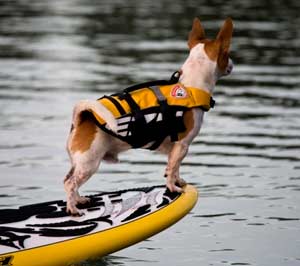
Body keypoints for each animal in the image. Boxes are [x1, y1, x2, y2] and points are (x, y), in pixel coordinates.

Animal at [64, 17, 234, 215]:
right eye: (227, 53)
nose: (232, 64)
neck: (191, 87)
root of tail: (82, 117)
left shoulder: (176, 150)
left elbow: (174, 169)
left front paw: (178, 181)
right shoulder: (182, 146)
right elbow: (172, 169)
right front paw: (173, 187)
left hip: (80, 164)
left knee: (69, 180)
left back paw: (78, 200)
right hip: (89, 164)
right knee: (70, 183)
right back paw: (73, 208)